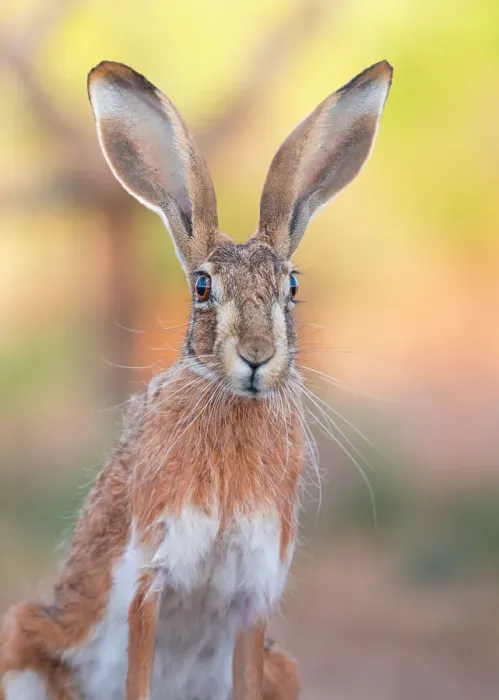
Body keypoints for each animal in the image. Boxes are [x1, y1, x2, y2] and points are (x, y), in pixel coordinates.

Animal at [0, 59, 392, 700]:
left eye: (292, 287)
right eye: (203, 287)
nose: (257, 356)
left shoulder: (255, 591)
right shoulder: (150, 575)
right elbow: (137, 673)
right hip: (24, 642)